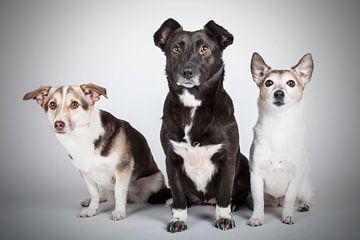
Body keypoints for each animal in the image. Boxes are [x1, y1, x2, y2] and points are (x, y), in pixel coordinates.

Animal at [23, 83, 171, 220]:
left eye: (74, 104)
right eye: (52, 104)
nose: (58, 124)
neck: (82, 137)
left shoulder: (122, 169)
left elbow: (119, 192)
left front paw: (119, 211)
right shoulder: (85, 172)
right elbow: (93, 192)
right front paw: (92, 208)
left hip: (155, 179)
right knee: (104, 192)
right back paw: (97, 199)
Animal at [153, 17, 249, 232]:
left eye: (204, 49)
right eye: (176, 49)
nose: (187, 72)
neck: (193, 104)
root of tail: (204, 200)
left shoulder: (228, 159)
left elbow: (224, 194)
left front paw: (224, 217)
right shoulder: (172, 160)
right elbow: (179, 196)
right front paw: (178, 219)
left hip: (245, 162)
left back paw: (236, 204)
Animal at [249, 53, 314, 227]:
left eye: (291, 83)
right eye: (268, 83)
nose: (279, 93)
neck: (279, 125)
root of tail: (277, 201)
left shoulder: (295, 176)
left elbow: (290, 199)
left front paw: (287, 216)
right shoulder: (256, 175)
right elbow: (258, 201)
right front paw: (257, 217)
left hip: (302, 186)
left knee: (305, 197)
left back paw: (303, 205)